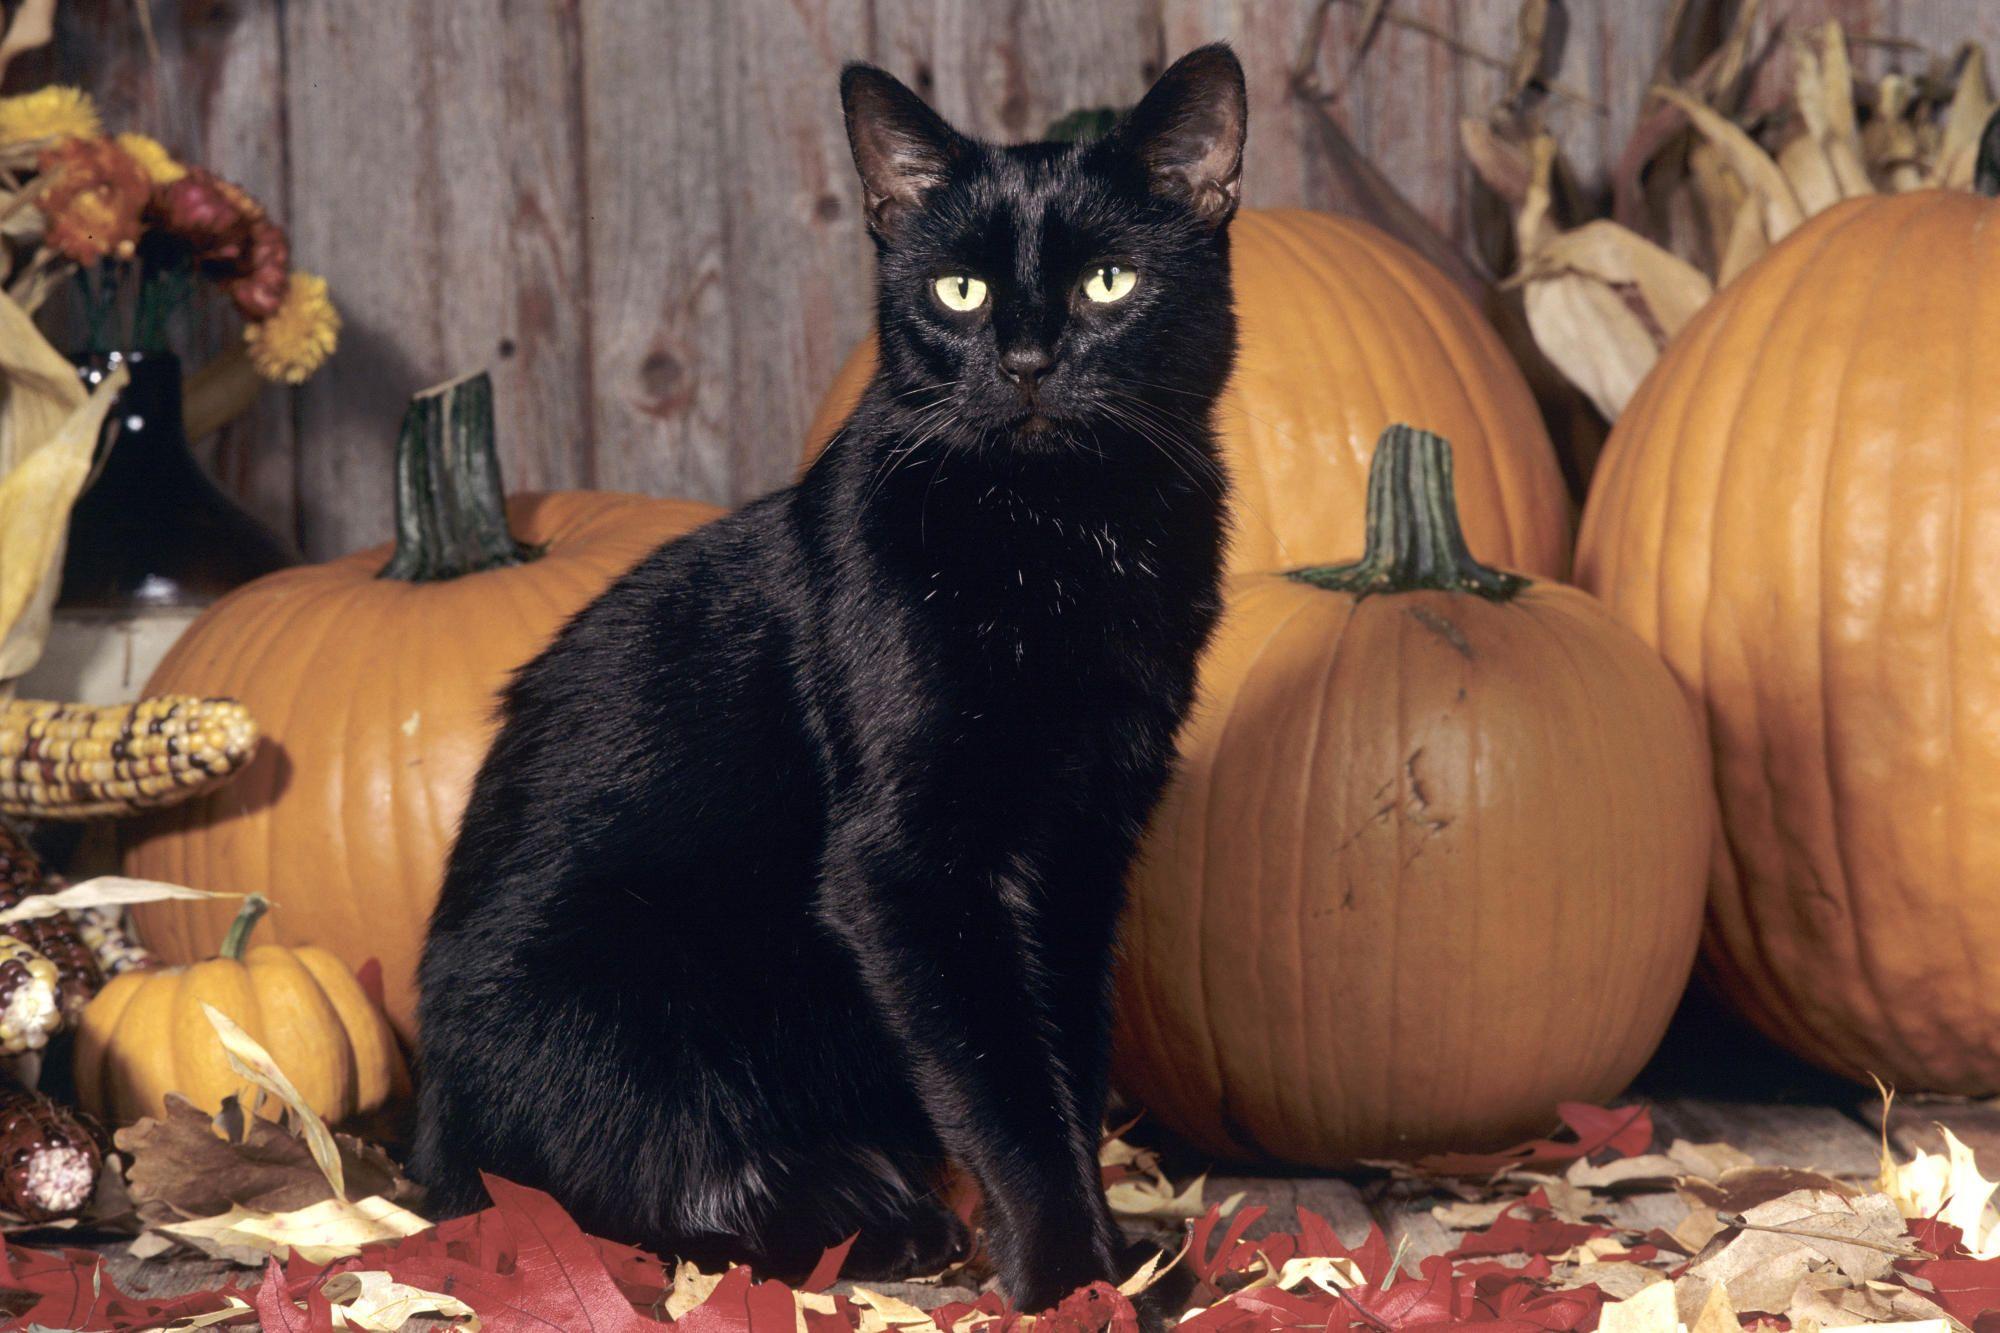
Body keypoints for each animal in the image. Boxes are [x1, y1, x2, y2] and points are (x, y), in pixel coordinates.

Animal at [414, 44, 1240, 1304]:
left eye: (1109, 282)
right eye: (958, 292)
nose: (1025, 361)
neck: (1054, 543)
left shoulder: (1082, 851)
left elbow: (1068, 1064)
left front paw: (1114, 1259)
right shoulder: (907, 868)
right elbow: (1002, 1085)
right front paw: (1069, 1279)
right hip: (609, 992)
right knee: (612, 1178)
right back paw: (871, 1218)